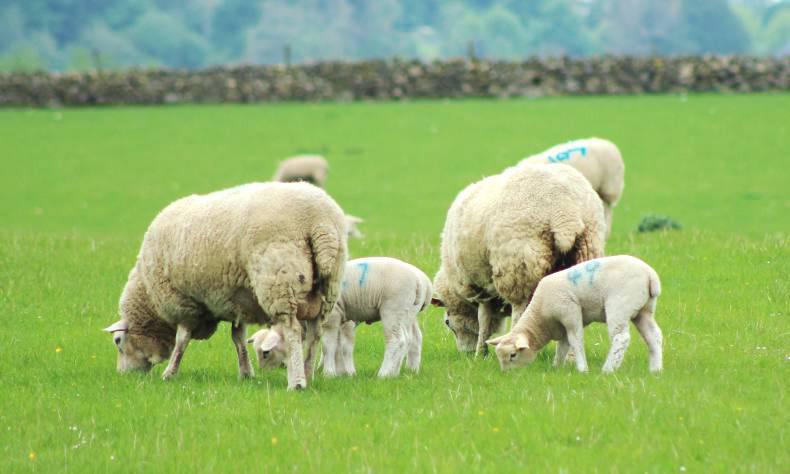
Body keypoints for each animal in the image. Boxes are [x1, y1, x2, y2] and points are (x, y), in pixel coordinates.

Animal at [103, 182, 347, 390]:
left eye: (118, 341)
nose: (124, 375)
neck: (149, 297)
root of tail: (320, 222)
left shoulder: (183, 302)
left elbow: (182, 340)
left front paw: (170, 373)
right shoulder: (238, 299)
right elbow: (238, 338)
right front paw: (246, 373)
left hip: (279, 280)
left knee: (293, 330)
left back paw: (297, 382)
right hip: (327, 288)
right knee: (315, 334)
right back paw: (308, 374)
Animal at [249, 257, 432, 378]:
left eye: (265, 353)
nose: (263, 373)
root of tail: (422, 281)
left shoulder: (335, 317)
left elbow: (331, 346)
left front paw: (331, 373)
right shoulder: (342, 319)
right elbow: (339, 346)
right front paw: (343, 372)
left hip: (393, 309)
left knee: (397, 340)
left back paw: (384, 374)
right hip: (408, 313)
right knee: (414, 339)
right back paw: (408, 370)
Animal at [432, 163, 606, 356]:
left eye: (447, 322)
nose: (465, 353)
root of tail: (563, 209)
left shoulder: (480, 287)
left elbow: (483, 319)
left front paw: (480, 353)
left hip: (517, 263)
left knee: (519, 310)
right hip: (586, 250)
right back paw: (570, 356)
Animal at [486, 255, 663, 373]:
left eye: (513, 355)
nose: (507, 374)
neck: (540, 316)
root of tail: (650, 275)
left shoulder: (570, 311)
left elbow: (575, 340)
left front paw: (582, 369)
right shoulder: (561, 325)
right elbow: (563, 346)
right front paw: (556, 367)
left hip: (619, 305)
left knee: (621, 338)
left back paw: (608, 369)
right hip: (644, 310)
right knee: (654, 336)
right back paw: (655, 369)